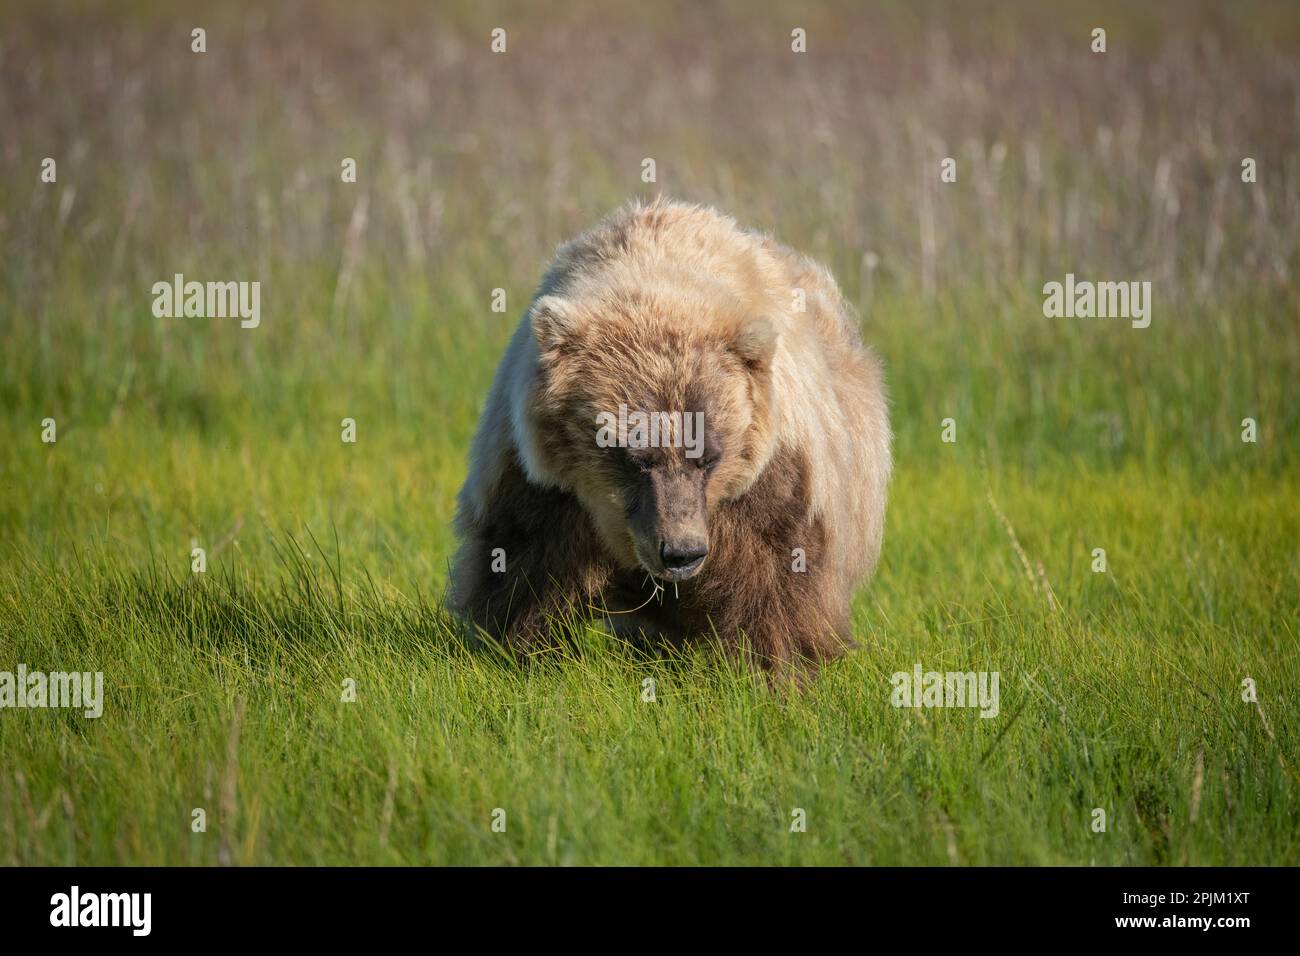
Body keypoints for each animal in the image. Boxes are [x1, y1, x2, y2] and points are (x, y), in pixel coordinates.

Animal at [449, 198, 891, 679]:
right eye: (633, 455)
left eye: (708, 457)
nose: (682, 552)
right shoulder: (541, 481)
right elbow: (523, 562)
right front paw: (522, 649)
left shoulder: (774, 473)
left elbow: (775, 573)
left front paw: (774, 665)